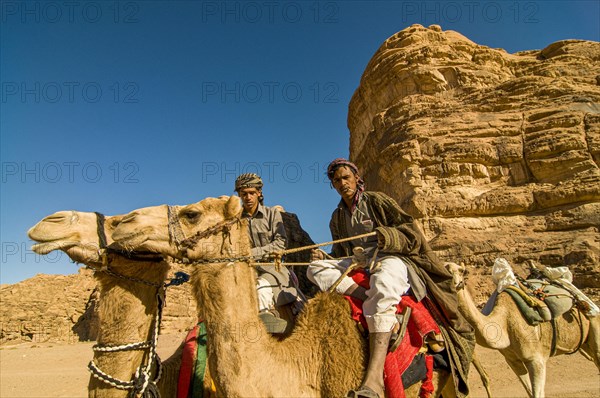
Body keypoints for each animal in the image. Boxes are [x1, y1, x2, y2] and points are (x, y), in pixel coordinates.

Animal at [446, 262, 600, 396]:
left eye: (462, 271)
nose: (452, 283)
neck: (504, 322)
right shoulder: (512, 360)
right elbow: (530, 392)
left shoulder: (536, 359)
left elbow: (538, 394)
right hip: (584, 342)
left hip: (595, 326)